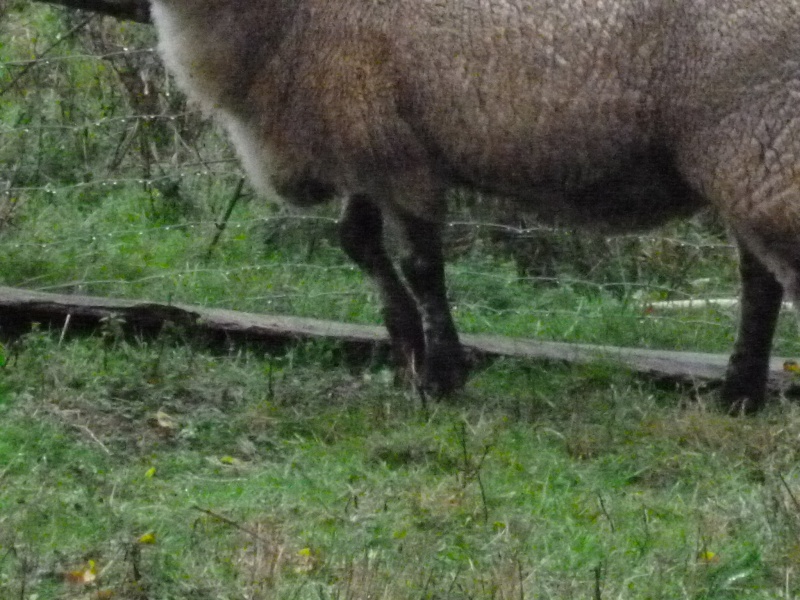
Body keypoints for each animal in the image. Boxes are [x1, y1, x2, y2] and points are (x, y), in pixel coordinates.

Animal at [147, 0, 800, 412]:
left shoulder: (398, 151)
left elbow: (422, 267)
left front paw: (441, 377)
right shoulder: (363, 136)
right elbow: (359, 243)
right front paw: (407, 356)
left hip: (761, 135)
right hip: (744, 157)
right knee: (759, 281)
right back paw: (738, 396)